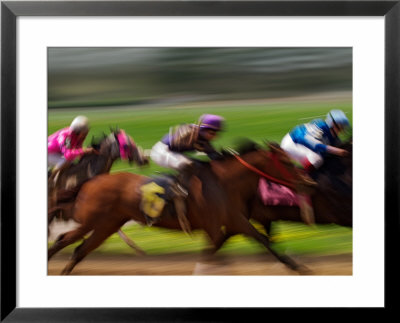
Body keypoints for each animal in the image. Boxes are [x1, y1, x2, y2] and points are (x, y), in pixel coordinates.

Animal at [48, 140, 314, 274]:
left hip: (108, 224)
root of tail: (91, 181)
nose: (306, 181)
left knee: (79, 249)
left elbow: (253, 241)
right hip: (92, 220)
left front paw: (296, 265)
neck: (225, 183)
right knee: (64, 240)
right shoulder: (220, 224)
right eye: (286, 161)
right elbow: (229, 249)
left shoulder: (230, 222)